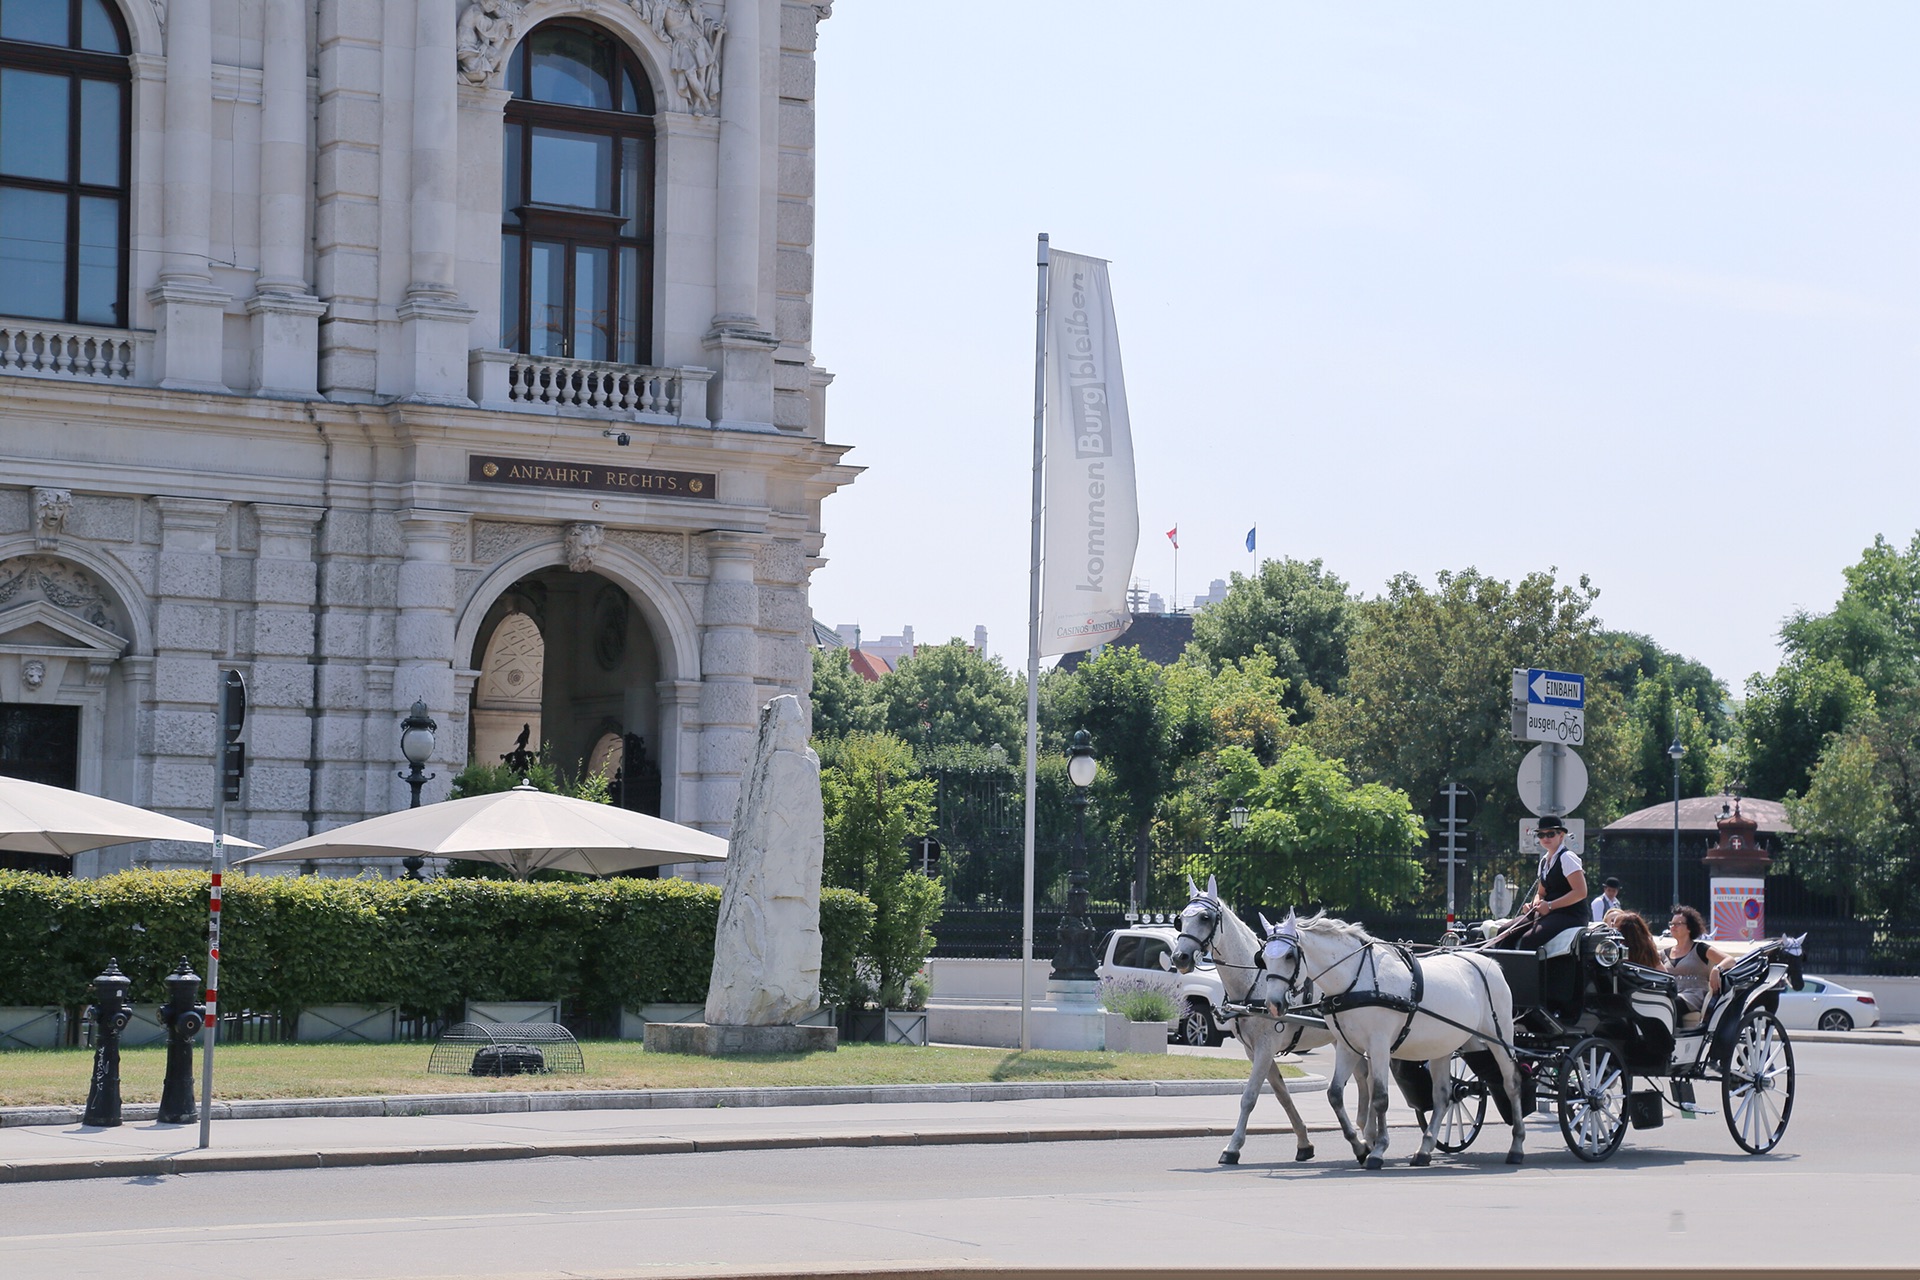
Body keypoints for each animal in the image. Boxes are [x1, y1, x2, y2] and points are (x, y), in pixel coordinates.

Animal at [1159, 875, 1328, 1166]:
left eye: (1205, 917)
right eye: (1181, 919)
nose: (1180, 957)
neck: (1256, 982)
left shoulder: (1265, 1048)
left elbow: (1249, 1097)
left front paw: (1232, 1147)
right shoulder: (1254, 1050)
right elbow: (1282, 1094)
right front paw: (1304, 1142)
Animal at [1259, 909, 1528, 1174]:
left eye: (1289, 956)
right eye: (1263, 957)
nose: (1273, 1004)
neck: (1356, 981)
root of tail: (1488, 963)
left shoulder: (1379, 1046)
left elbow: (1380, 1097)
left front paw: (1377, 1150)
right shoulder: (1347, 1047)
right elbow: (1335, 1094)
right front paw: (1360, 1146)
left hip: (1500, 1038)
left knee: (1512, 1083)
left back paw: (1516, 1145)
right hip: (1444, 1045)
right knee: (1444, 1096)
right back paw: (1424, 1149)